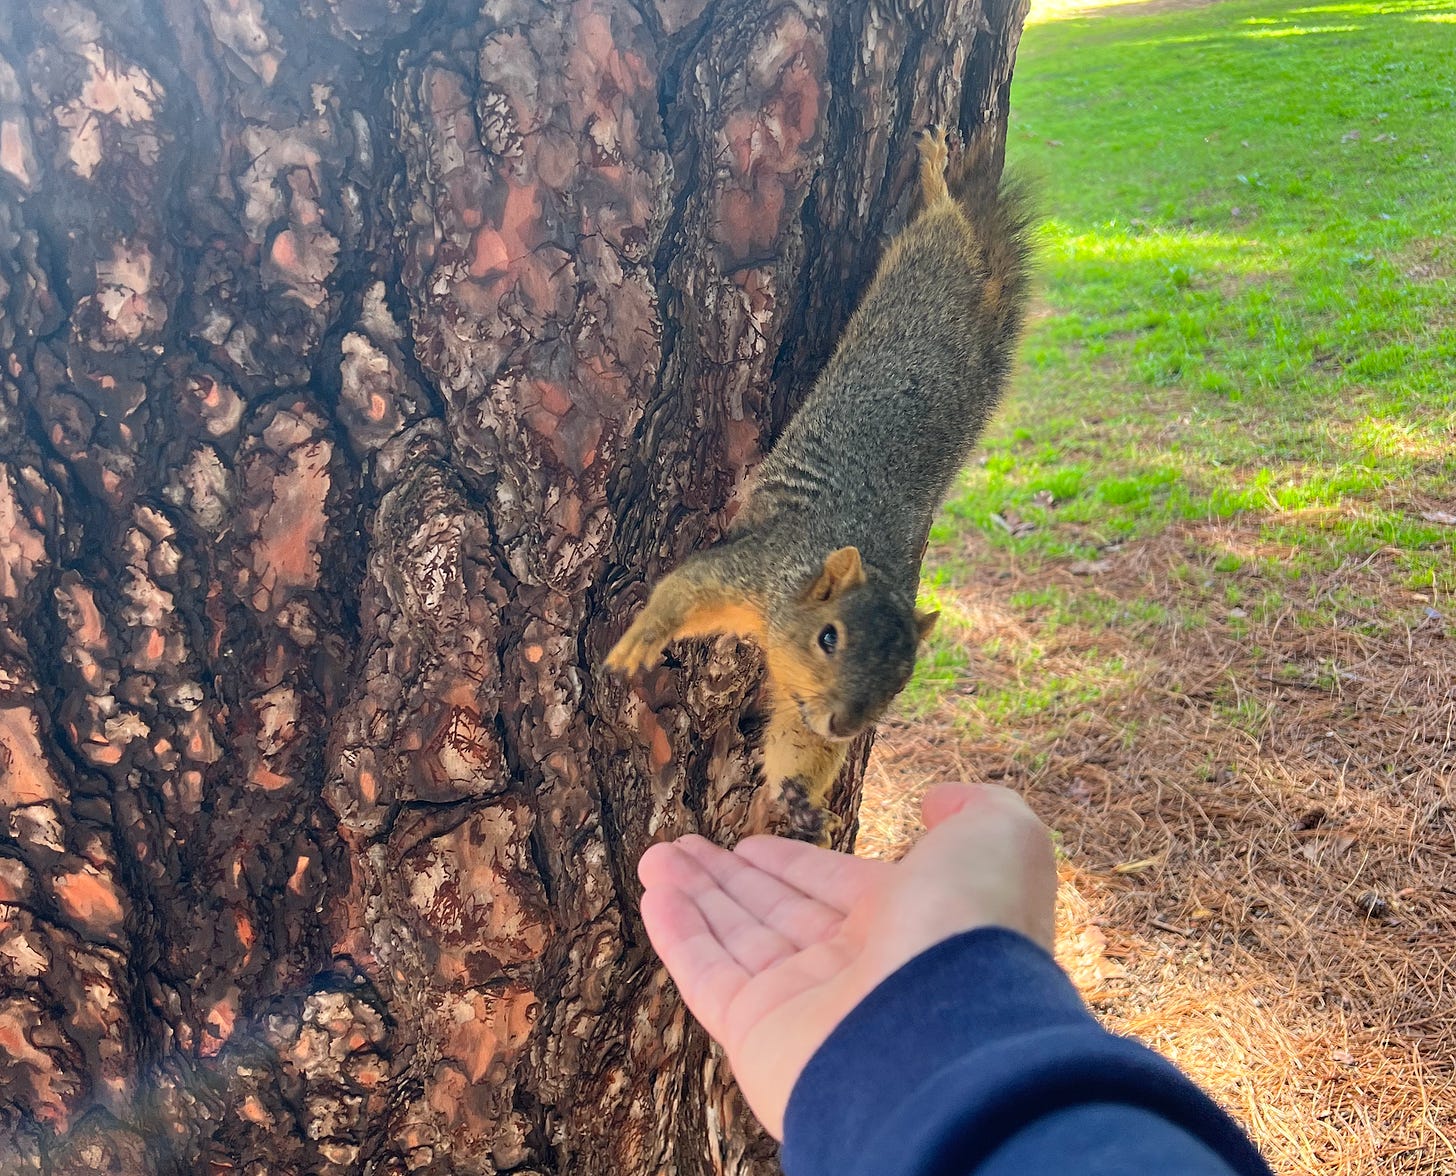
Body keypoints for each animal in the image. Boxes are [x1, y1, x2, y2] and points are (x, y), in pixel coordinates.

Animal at [602, 126, 1036, 844]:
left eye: (903, 680)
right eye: (828, 637)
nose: (843, 723)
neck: (789, 605)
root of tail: (979, 309)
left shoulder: (796, 694)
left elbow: (797, 743)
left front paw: (801, 797)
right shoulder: (753, 568)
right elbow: (685, 586)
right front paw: (645, 637)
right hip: (926, 264)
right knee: (942, 224)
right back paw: (934, 172)